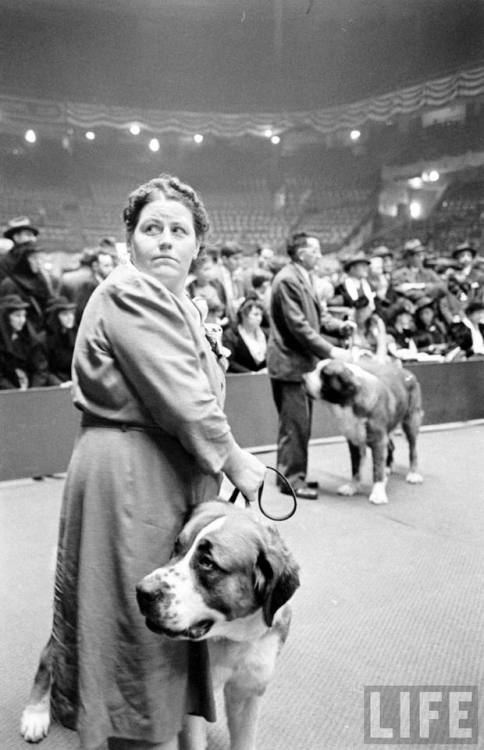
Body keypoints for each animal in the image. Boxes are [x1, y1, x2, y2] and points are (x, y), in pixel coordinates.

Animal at [20, 500, 300, 750]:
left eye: (207, 563)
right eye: (177, 547)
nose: (142, 592)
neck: (231, 638)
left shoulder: (248, 693)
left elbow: (244, 740)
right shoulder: (194, 699)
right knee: (49, 656)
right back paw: (36, 713)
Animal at [306, 360, 424, 506]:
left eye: (324, 374)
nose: (303, 378)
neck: (349, 402)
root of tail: (406, 372)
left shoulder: (378, 441)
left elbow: (377, 469)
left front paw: (378, 493)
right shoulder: (354, 442)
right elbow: (356, 467)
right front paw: (352, 487)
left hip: (411, 421)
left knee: (413, 450)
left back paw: (413, 474)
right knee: (391, 447)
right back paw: (387, 467)